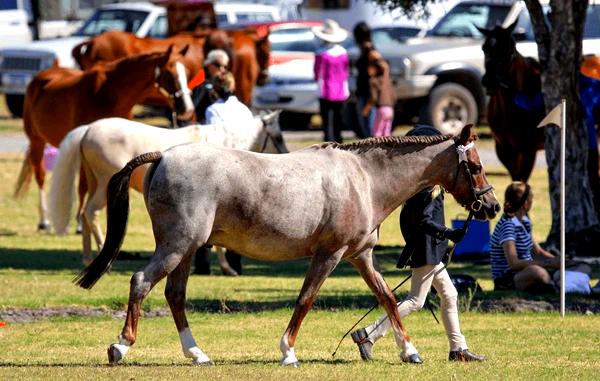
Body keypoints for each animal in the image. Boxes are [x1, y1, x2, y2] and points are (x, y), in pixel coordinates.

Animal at [15, 44, 195, 229]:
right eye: (169, 74)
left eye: (187, 74)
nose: (187, 109)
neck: (109, 93)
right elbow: (82, 186)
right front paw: (80, 225)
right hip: (37, 141)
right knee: (41, 176)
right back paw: (44, 220)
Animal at [49, 112, 288, 268]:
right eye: (277, 137)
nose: (286, 153)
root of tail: (88, 129)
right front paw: (226, 268)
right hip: (105, 182)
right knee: (91, 212)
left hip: (94, 183)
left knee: (84, 215)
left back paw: (89, 258)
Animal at [74, 124, 496, 366]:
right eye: (475, 167)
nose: (491, 205)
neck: (363, 178)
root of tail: (163, 155)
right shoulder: (329, 255)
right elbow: (306, 300)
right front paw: (288, 351)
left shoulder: (360, 256)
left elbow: (389, 299)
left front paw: (408, 351)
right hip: (177, 245)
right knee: (141, 282)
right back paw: (121, 347)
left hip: (188, 249)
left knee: (175, 296)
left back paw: (197, 354)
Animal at [476, 20, 548, 181]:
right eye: (484, 48)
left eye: (508, 48)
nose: (489, 81)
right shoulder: (504, 149)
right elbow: (515, 178)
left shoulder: (528, 150)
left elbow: (522, 180)